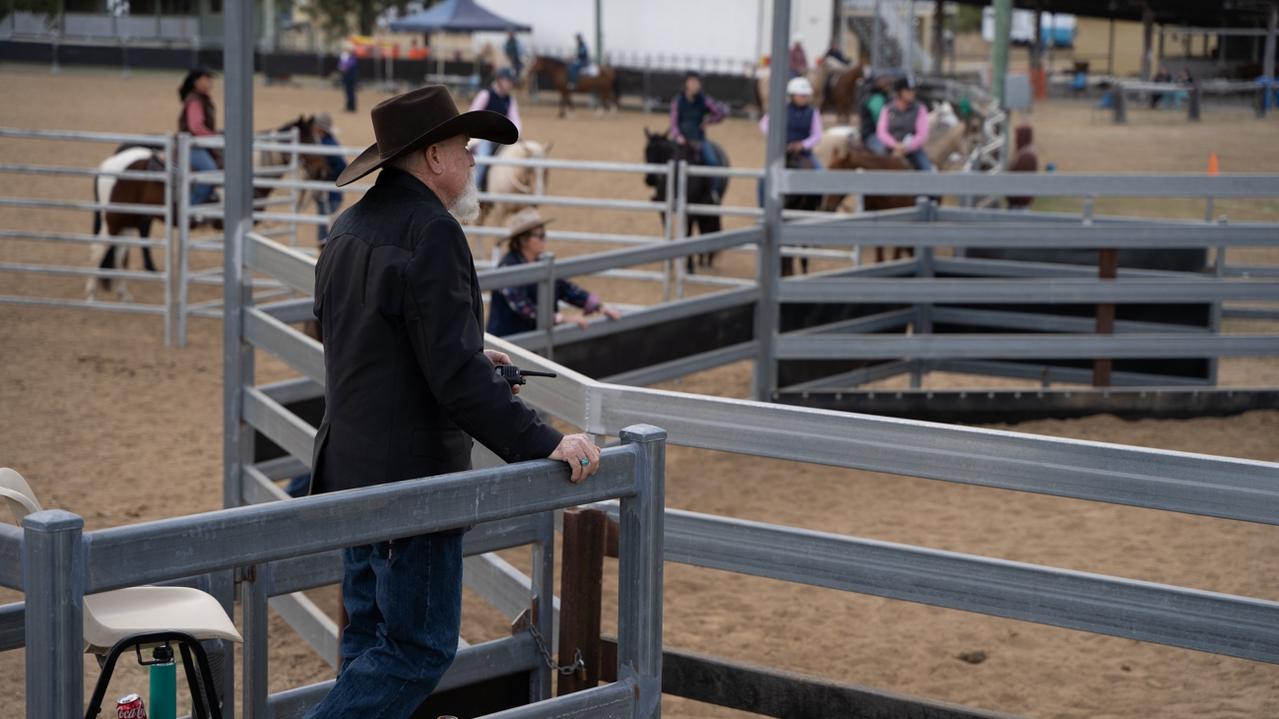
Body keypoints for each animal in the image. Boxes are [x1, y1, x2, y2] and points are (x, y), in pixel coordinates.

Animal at [639, 128, 731, 271]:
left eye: (660, 150)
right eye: (646, 150)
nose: (650, 179)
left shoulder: (689, 211)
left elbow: (688, 235)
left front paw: (689, 266)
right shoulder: (664, 210)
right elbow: (668, 233)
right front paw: (668, 264)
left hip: (711, 204)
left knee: (708, 226)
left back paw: (707, 260)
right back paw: (703, 259)